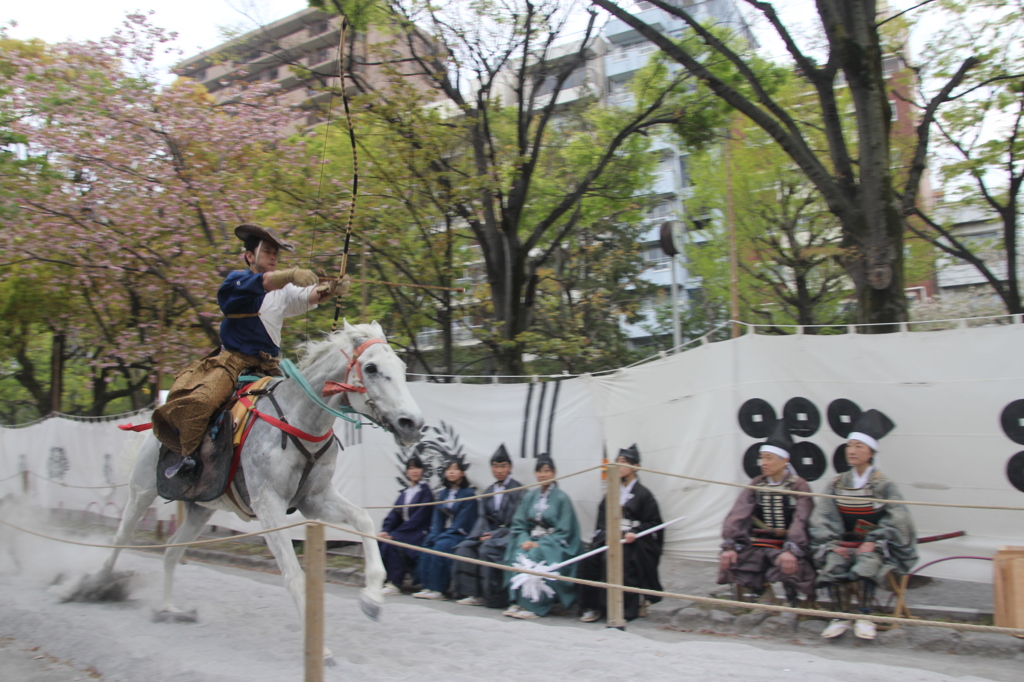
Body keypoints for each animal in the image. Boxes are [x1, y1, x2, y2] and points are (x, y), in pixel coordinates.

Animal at [87, 321, 419, 655]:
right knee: (120, 539)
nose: (412, 423)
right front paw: (320, 651)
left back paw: (168, 608)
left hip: (199, 510)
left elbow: (363, 520)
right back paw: (94, 586)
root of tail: (153, 428)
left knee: (171, 551)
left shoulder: (314, 499)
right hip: (142, 490)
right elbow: (293, 574)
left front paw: (372, 598)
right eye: (371, 367)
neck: (300, 421)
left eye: (401, 366)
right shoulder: (267, 503)